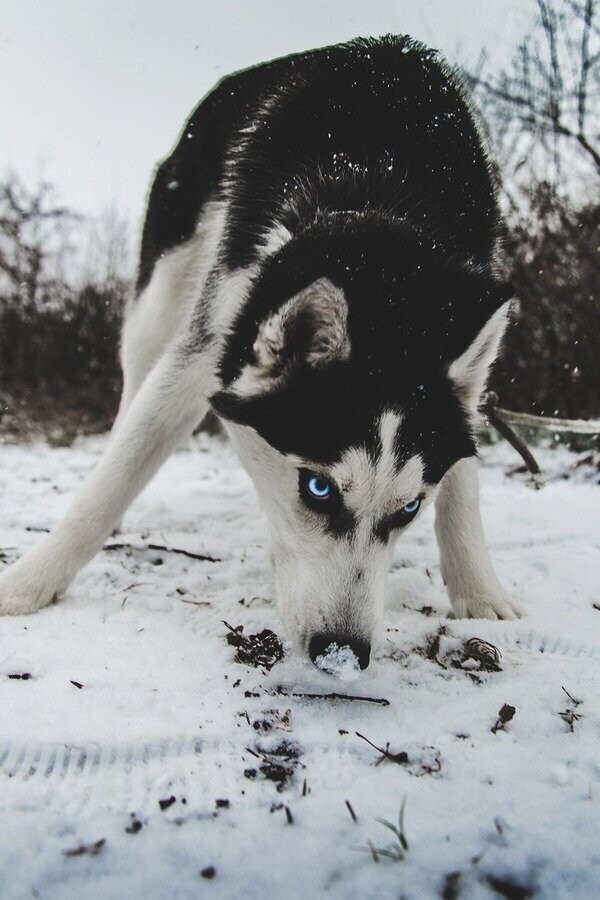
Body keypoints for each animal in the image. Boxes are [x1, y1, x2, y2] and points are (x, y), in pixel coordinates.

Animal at [0, 37, 520, 668]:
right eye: (318, 488)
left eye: (409, 510)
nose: (341, 654)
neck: (372, 189)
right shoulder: (211, 339)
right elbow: (110, 481)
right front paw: (27, 583)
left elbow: (463, 480)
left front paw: (480, 591)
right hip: (160, 299)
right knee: (131, 402)